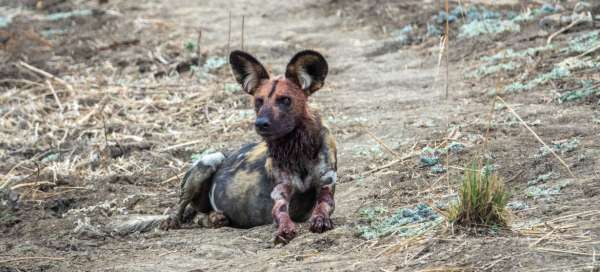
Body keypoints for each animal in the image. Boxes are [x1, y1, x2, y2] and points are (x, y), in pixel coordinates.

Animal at [161, 50, 338, 243]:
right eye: (258, 101)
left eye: (285, 100)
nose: (260, 123)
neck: (297, 150)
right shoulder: (280, 194)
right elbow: (281, 213)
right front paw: (285, 229)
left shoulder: (325, 186)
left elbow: (322, 206)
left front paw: (320, 220)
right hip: (209, 161)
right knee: (183, 206)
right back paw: (173, 220)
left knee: (199, 217)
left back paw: (215, 218)